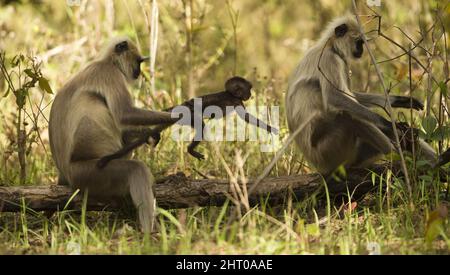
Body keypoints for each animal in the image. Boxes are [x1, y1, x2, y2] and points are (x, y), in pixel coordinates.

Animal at [47, 37, 178, 233]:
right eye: (138, 62)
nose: (138, 72)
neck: (107, 62)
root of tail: (64, 174)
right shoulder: (109, 74)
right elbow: (124, 113)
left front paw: (150, 135)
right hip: (87, 173)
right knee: (136, 169)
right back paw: (149, 232)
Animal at [284, 15, 436, 176]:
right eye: (359, 42)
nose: (362, 50)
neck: (330, 46)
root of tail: (318, 167)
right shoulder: (329, 59)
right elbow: (335, 97)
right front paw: (388, 123)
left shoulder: (342, 62)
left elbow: (351, 95)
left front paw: (398, 101)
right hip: (329, 154)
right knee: (349, 117)